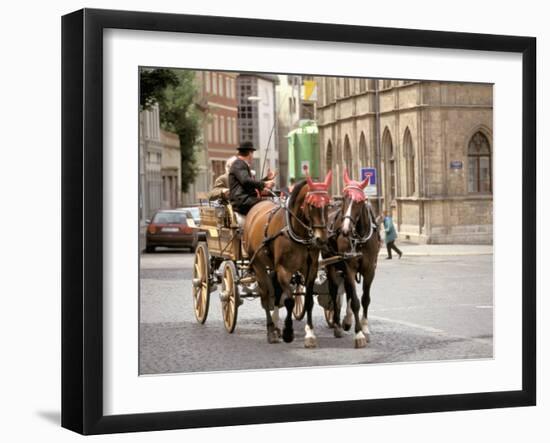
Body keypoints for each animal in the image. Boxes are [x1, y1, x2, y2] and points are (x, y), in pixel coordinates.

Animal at [245, 173, 332, 346]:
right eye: (311, 205)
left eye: (328, 205)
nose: (321, 239)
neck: (297, 233)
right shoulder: (284, 270)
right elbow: (290, 300)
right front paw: (288, 332)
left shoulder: (311, 269)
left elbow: (308, 301)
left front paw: (310, 334)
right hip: (258, 265)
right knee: (266, 294)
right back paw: (271, 330)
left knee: (276, 293)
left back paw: (276, 325)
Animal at [326, 169, 382, 346]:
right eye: (344, 198)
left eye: (360, 201)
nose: (345, 230)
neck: (359, 238)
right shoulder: (349, 267)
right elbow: (356, 301)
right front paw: (359, 334)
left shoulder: (370, 269)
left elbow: (364, 299)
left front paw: (364, 328)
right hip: (331, 264)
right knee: (334, 292)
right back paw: (337, 324)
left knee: (348, 292)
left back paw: (347, 320)